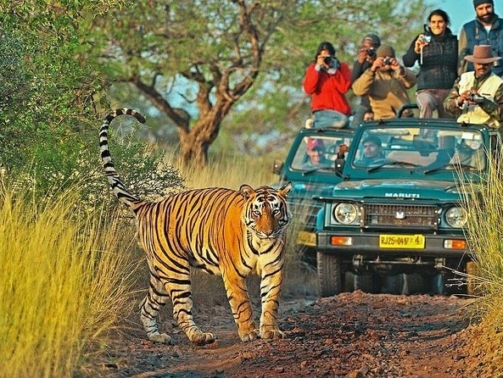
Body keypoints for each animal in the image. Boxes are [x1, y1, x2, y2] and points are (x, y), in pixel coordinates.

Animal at [99, 108, 294, 344]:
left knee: (146, 306)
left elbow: (271, 302)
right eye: (257, 212)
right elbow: (243, 304)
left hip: (159, 274)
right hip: (175, 270)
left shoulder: (273, 269)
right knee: (180, 310)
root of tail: (149, 205)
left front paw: (270, 331)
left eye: (276, 211)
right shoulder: (233, 273)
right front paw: (248, 333)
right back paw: (200, 336)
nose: (268, 232)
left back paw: (158, 337)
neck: (259, 243)